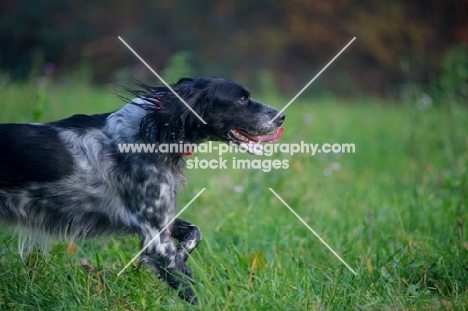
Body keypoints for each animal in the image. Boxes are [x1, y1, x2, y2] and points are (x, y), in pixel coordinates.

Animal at [0, 77, 286, 306]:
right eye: (241, 99)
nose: (282, 116)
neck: (151, 133)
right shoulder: (155, 235)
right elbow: (186, 285)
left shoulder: (159, 219)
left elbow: (194, 234)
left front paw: (181, 260)